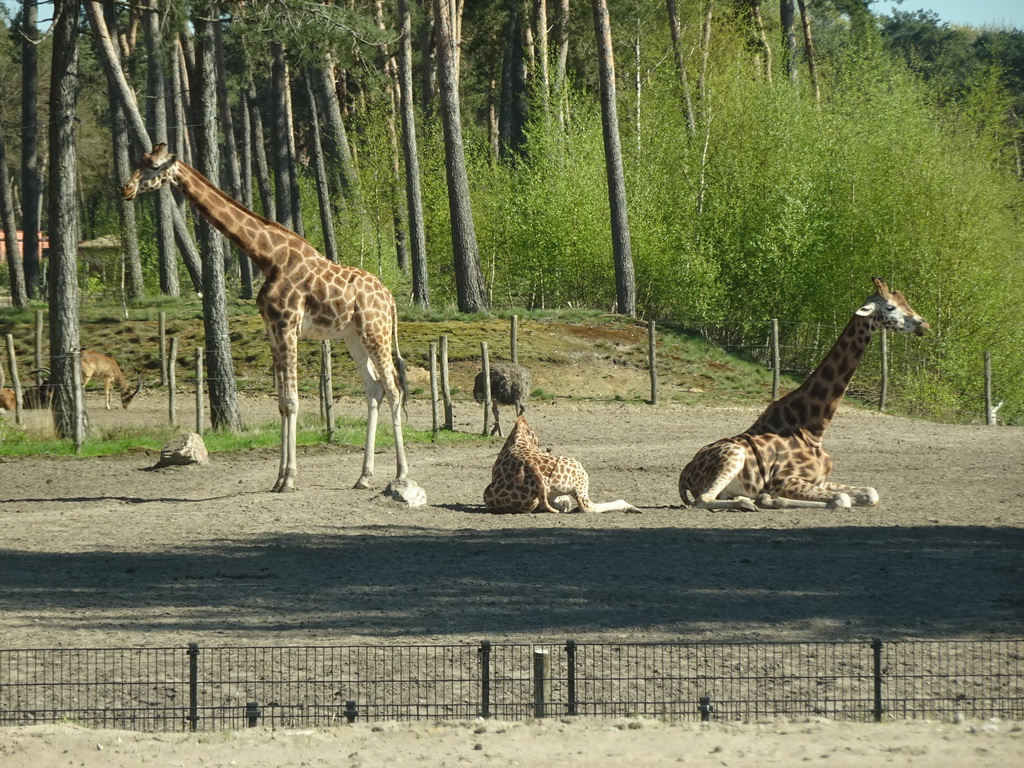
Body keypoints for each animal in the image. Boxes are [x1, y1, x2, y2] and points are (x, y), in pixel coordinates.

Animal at [120, 145, 423, 505]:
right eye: (140, 161)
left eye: (153, 166)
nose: (125, 190)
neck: (266, 257)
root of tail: (390, 299)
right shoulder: (272, 328)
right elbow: (281, 402)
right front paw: (278, 479)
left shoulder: (287, 324)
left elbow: (291, 401)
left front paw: (289, 479)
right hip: (353, 337)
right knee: (374, 389)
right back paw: (363, 477)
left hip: (375, 332)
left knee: (393, 388)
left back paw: (401, 474)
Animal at [679, 276, 929, 512]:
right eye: (890, 307)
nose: (924, 325)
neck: (814, 429)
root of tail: (685, 471)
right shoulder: (784, 480)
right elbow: (842, 499)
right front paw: (768, 499)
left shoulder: (820, 481)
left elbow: (871, 493)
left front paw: (769, 499)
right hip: (734, 455)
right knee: (703, 499)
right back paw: (748, 503)